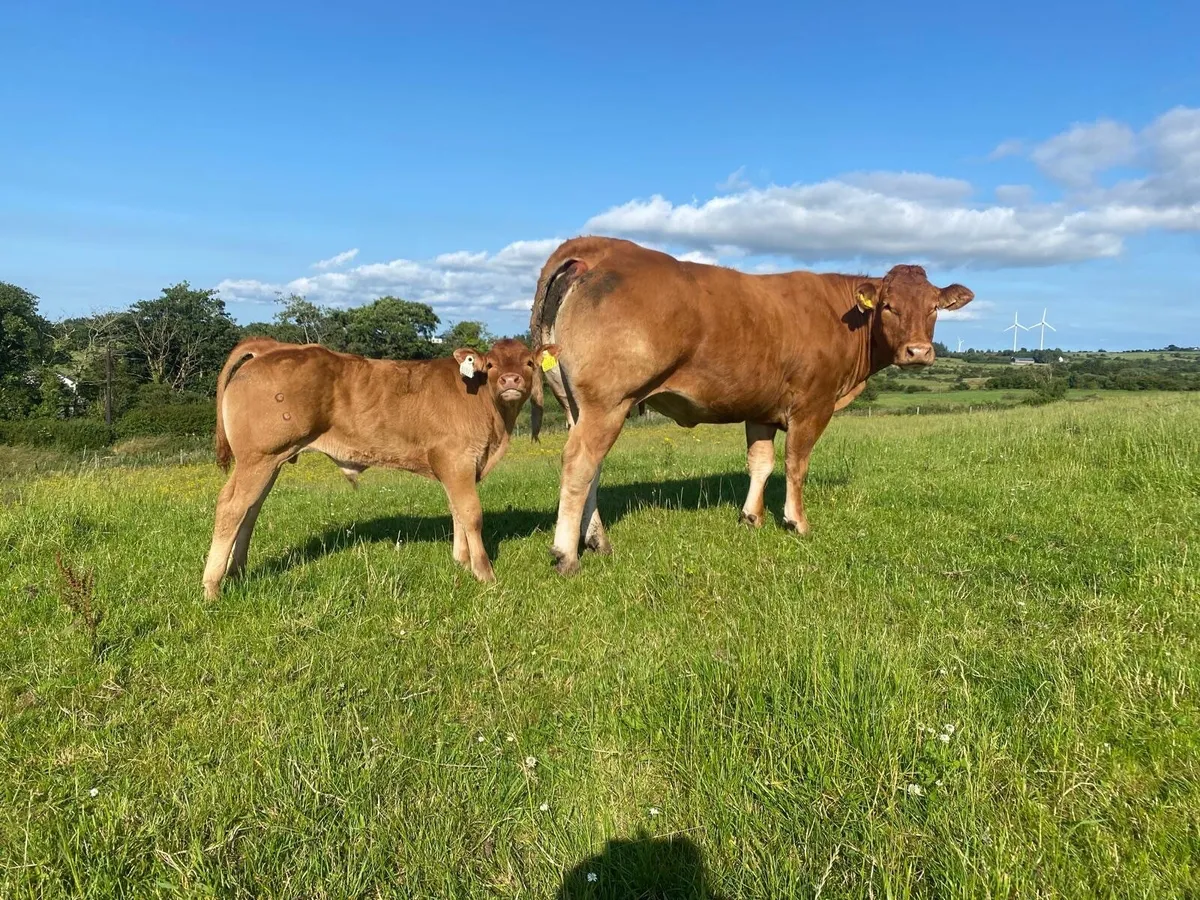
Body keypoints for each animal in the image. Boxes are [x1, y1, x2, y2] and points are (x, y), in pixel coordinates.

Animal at [202, 337, 553, 598]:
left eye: (529, 363)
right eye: (491, 365)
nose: (511, 380)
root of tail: (273, 347)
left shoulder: (457, 468)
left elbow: (457, 511)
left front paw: (461, 561)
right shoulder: (456, 459)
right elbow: (471, 514)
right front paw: (484, 572)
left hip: (269, 461)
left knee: (251, 510)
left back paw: (238, 571)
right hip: (259, 457)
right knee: (232, 507)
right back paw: (212, 587)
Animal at [529, 236, 974, 575]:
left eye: (933, 307)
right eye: (888, 306)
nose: (918, 351)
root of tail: (603, 246)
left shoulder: (761, 409)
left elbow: (761, 463)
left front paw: (751, 517)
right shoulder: (812, 405)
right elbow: (796, 464)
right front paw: (797, 521)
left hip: (578, 405)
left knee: (593, 469)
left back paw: (597, 541)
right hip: (608, 401)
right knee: (580, 463)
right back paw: (567, 554)